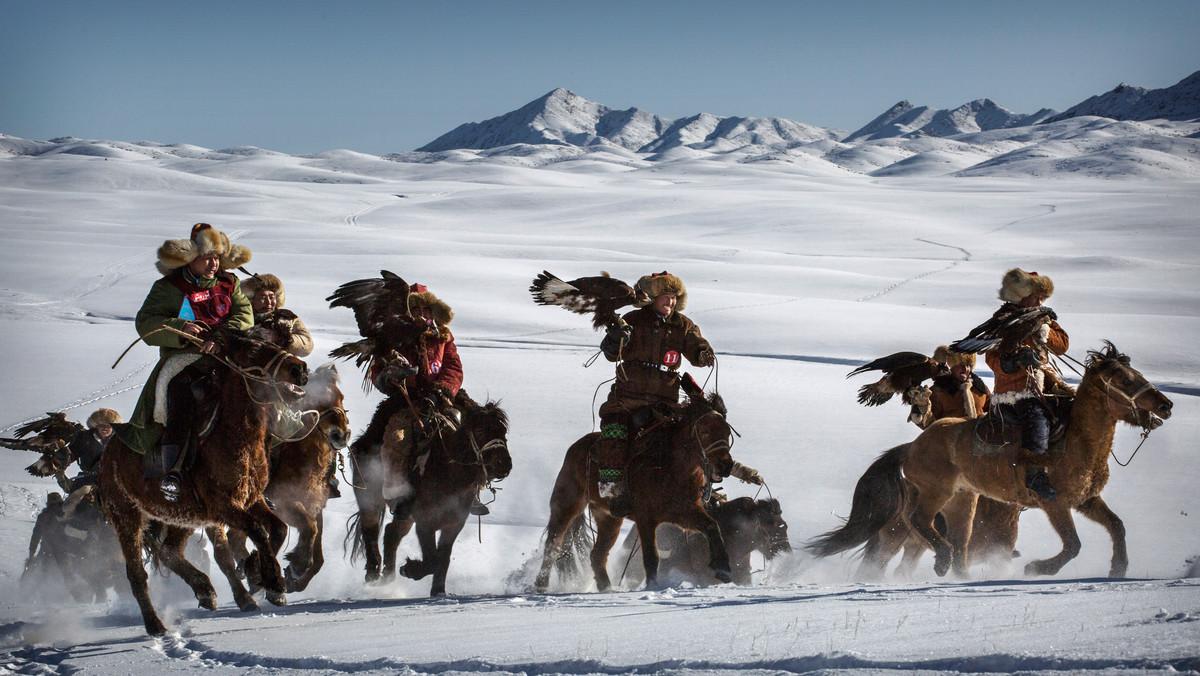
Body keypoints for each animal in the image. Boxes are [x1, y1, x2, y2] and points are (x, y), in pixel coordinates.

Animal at [97, 331, 307, 638]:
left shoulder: (251, 499)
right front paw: (274, 583)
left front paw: (258, 573)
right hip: (127, 517)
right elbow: (258, 530)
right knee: (136, 574)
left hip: (181, 516)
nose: (300, 369)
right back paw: (155, 625)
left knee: (169, 551)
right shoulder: (224, 506)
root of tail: (107, 456)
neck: (233, 438)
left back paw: (205, 590)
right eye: (253, 349)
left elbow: (277, 529)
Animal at [205, 362, 348, 605]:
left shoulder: (315, 504)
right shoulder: (284, 503)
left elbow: (317, 553)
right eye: (317, 400)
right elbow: (309, 528)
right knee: (225, 550)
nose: (342, 435)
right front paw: (296, 565)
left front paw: (294, 576)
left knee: (236, 539)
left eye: (341, 398)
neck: (300, 455)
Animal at [350, 393, 513, 595]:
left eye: (503, 431)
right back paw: (373, 575)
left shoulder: (453, 524)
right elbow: (433, 560)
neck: (449, 474)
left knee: (391, 534)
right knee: (371, 529)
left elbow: (443, 558)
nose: (505, 465)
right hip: (369, 498)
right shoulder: (425, 522)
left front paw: (438, 592)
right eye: (481, 431)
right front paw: (410, 569)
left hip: (405, 516)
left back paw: (387, 578)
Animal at [537, 384, 739, 595]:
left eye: (727, 431)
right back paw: (541, 585)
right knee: (553, 546)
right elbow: (651, 557)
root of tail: (576, 447)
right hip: (566, 505)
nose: (726, 465)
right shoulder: (646, 518)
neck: (671, 469)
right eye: (705, 431)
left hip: (609, 519)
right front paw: (653, 586)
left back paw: (607, 588)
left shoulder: (684, 512)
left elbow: (711, 526)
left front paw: (723, 568)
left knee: (597, 555)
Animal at [806, 343, 1171, 581]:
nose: (1165, 406)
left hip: (963, 500)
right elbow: (1073, 545)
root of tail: (910, 447)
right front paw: (1038, 568)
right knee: (918, 523)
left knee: (955, 540)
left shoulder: (1086, 500)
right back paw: (941, 561)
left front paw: (1118, 568)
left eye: (1137, 373)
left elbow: (1117, 526)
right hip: (935, 496)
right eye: (1125, 380)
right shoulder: (1055, 504)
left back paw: (957, 573)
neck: (1074, 442)